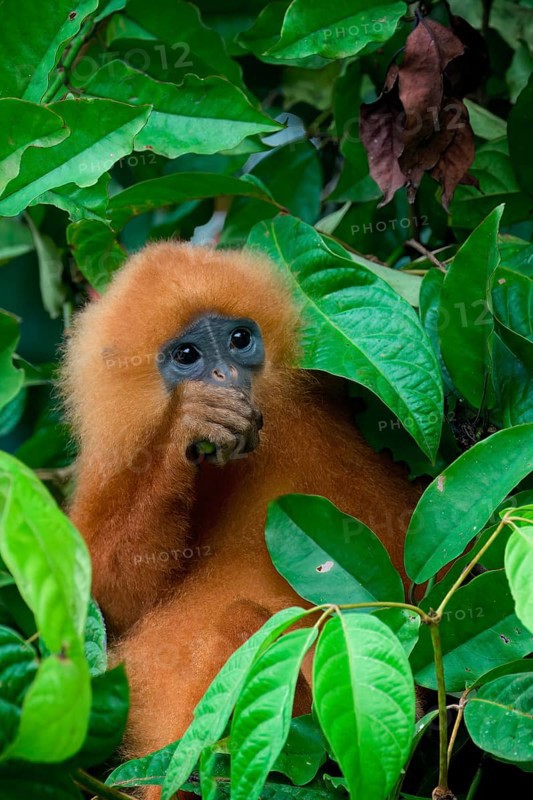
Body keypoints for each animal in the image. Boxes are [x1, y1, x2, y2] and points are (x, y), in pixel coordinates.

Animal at [61, 241, 422, 791]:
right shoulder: (115, 458)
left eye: (238, 340)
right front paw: (186, 425)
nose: (225, 376)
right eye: (188, 356)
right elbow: (111, 600)